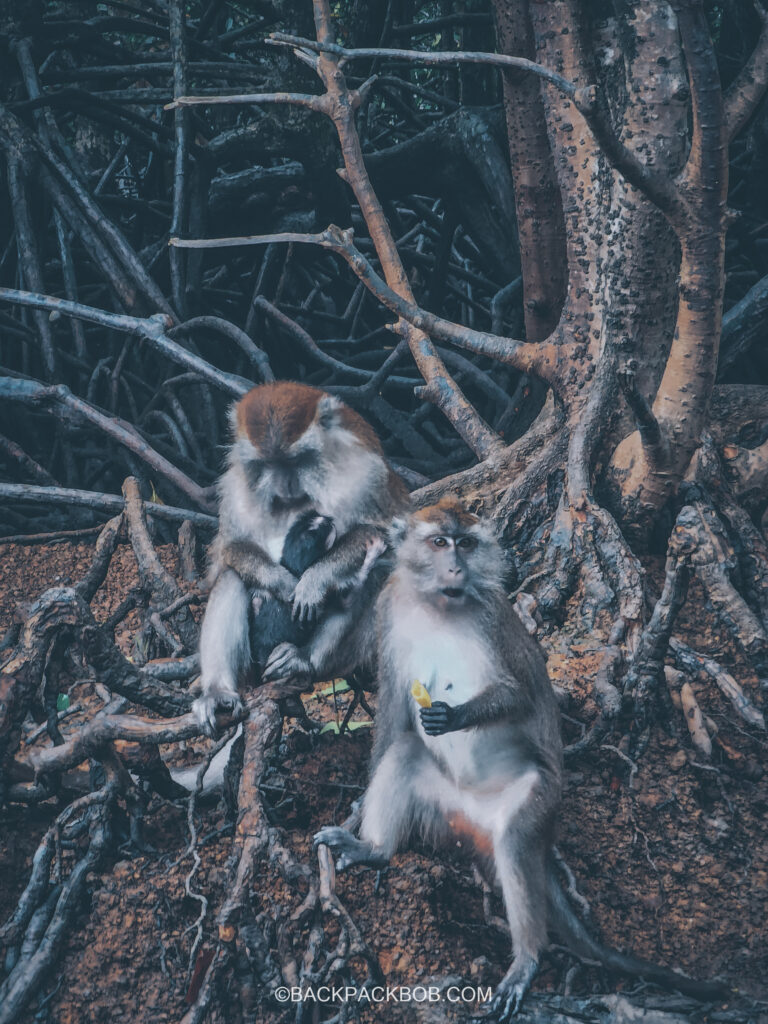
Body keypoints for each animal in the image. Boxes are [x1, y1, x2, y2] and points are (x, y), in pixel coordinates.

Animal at [195, 385, 409, 737]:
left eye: (297, 460)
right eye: (266, 463)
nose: (285, 486)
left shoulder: (365, 475)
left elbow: (380, 531)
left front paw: (315, 580)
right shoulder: (235, 486)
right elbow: (231, 547)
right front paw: (278, 579)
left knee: (374, 576)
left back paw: (303, 658)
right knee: (232, 576)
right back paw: (217, 692)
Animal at [317, 499, 729, 1019]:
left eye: (466, 543)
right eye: (439, 542)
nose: (456, 566)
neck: (439, 606)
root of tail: (474, 814)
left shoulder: (491, 620)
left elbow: (518, 694)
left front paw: (456, 715)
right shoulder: (390, 611)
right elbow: (393, 707)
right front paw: (359, 817)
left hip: (536, 798)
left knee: (515, 841)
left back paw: (528, 959)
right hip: (446, 808)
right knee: (407, 752)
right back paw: (374, 850)